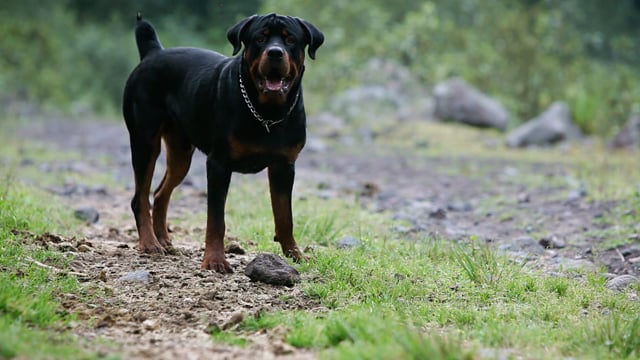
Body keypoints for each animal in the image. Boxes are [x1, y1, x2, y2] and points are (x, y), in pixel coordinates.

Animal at [124, 13, 324, 272]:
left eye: (291, 39)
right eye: (260, 38)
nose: (275, 52)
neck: (266, 112)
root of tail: (152, 53)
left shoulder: (284, 167)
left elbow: (284, 216)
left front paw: (294, 254)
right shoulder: (219, 164)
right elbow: (216, 219)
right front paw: (215, 259)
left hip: (180, 152)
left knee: (159, 193)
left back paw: (164, 240)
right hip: (144, 142)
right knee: (140, 197)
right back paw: (149, 243)